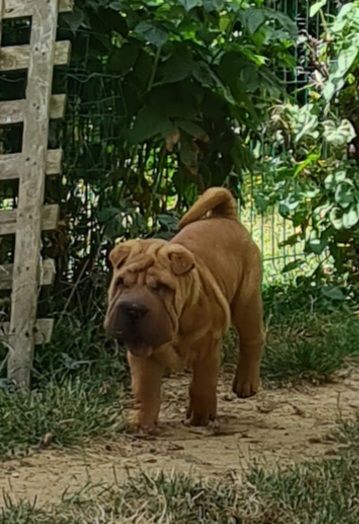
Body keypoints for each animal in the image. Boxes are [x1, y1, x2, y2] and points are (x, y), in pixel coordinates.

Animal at [104, 188, 264, 430]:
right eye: (121, 282)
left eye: (161, 288)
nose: (133, 309)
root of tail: (226, 217)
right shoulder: (139, 351)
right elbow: (145, 389)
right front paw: (141, 422)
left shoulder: (208, 348)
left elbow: (202, 384)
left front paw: (200, 416)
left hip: (246, 301)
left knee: (252, 339)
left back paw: (246, 384)